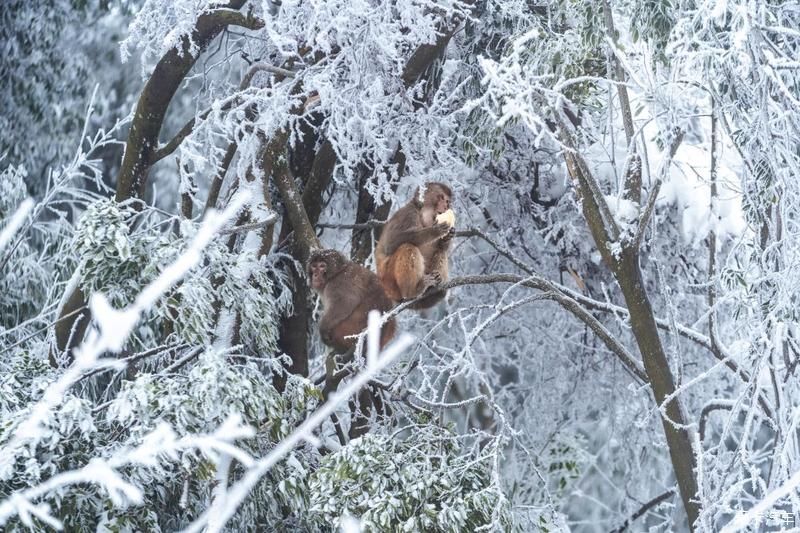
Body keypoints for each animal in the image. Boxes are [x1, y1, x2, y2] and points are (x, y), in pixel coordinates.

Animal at [376, 182, 456, 310]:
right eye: (441, 198)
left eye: (447, 201)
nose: (446, 206)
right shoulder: (407, 214)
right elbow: (391, 243)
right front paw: (435, 230)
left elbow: (440, 248)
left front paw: (447, 237)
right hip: (390, 282)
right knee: (407, 247)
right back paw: (413, 291)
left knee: (440, 252)